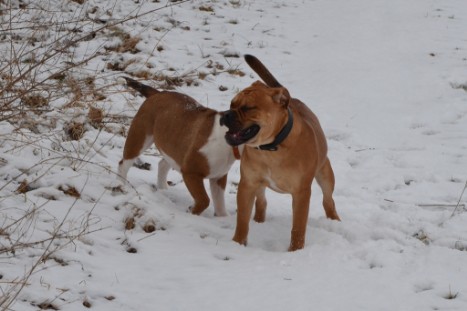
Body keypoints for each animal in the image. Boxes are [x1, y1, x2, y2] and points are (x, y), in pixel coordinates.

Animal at [119, 78, 241, 218]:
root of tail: (158, 93)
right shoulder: (190, 174)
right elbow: (204, 200)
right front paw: (192, 212)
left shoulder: (218, 178)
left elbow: (219, 203)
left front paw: (222, 217)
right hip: (139, 139)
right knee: (124, 164)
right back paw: (121, 184)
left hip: (173, 147)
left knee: (162, 164)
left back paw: (163, 189)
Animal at [221, 55, 342, 251]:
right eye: (232, 103)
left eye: (248, 108)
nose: (225, 114)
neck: (271, 147)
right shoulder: (247, 184)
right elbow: (242, 220)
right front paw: (238, 243)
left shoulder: (301, 193)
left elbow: (298, 228)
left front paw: (295, 251)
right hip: (258, 184)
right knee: (261, 201)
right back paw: (258, 220)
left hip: (325, 175)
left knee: (328, 200)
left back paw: (334, 220)